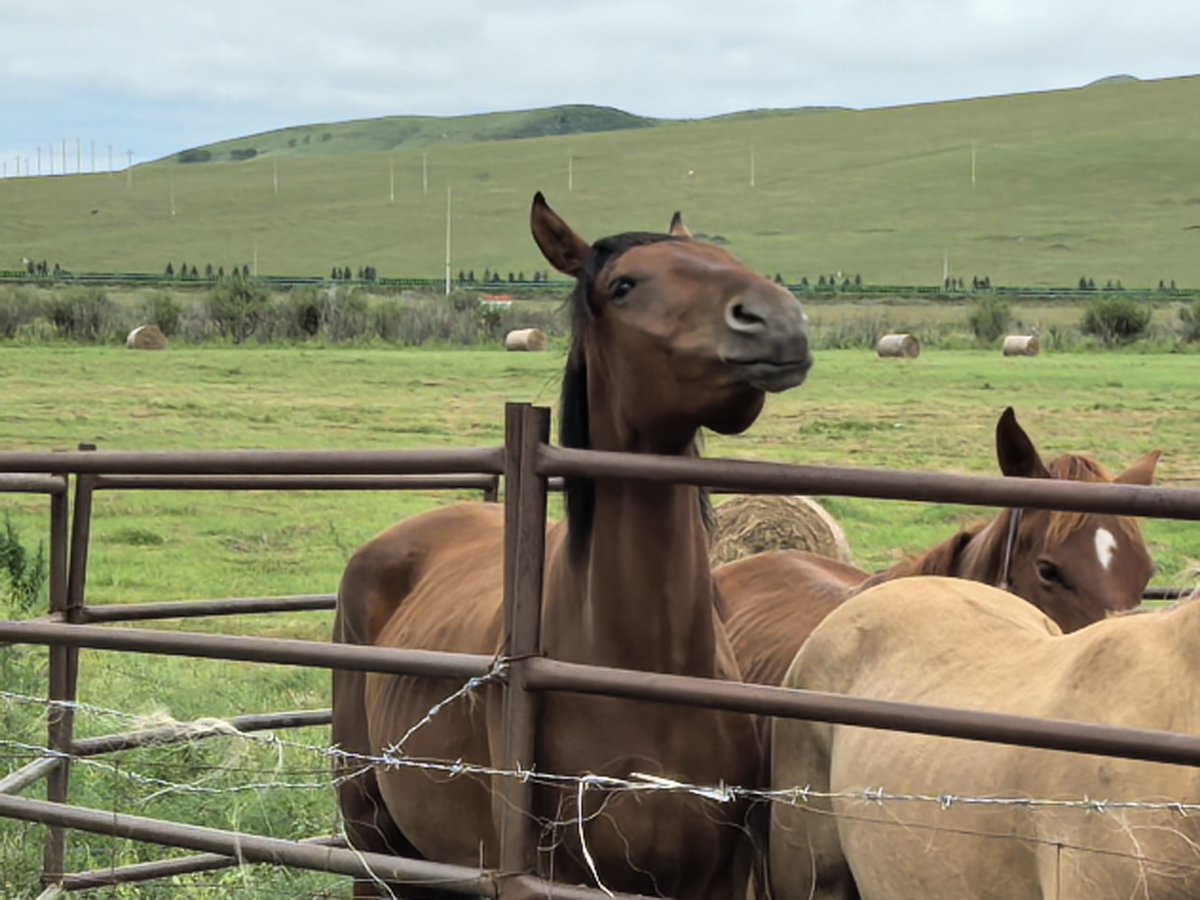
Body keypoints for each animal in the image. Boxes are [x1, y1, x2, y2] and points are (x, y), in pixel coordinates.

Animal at [331, 192, 812, 898]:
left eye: (723, 255)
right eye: (624, 286)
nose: (776, 318)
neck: (642, 673)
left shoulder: (716, 877)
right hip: (371, 837)